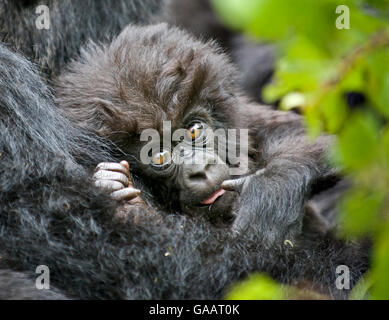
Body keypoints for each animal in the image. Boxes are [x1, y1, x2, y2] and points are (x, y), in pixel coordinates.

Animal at [55, 23, 336, 246]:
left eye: (194, 130)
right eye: (159, 156)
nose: (200, 169)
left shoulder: (244, 116)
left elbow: (307, 135)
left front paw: (272, 190)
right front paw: (125, 203)